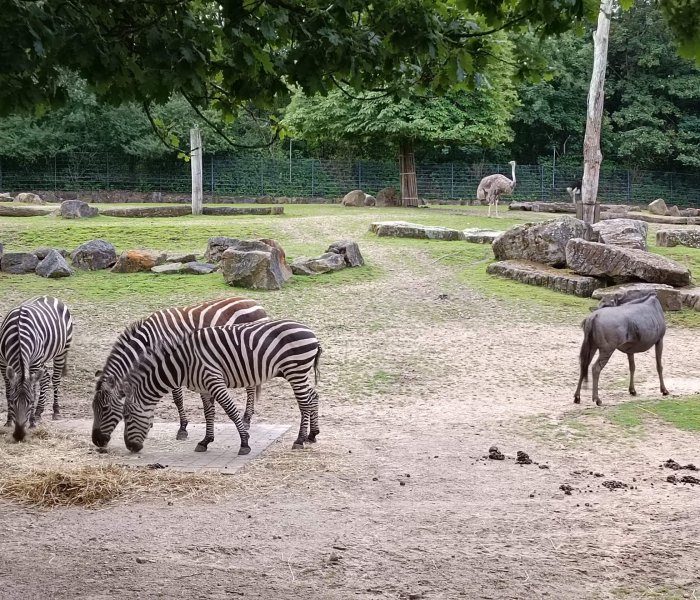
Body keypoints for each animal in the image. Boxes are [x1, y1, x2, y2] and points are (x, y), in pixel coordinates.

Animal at [0, 296, 74, 440]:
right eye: (13, 401)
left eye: (30, 402)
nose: (19, 435)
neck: (18, 334)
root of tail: (50, 296)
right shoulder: (2, 362)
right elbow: (8, 391)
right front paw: (9, 420)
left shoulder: (34, 363)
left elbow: (33, 390)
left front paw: (32, 422)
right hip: (42, 358)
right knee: (45, 378)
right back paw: (39, 412)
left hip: (61, 351)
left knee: (55, 379)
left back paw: (56, 411)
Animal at [91, 296, 266, 450]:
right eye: (93, 408)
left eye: (105, 408)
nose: (97, 441)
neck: (152, 341)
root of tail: (253, 301)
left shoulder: (173, 362)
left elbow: (177, 399)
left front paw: (182, 429)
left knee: (251, 387)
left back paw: (247, 419)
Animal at [100, 322, 320, 458]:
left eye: (126, 417)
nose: (131, 448)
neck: (183, 363)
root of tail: (312, 333)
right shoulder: (204, 388)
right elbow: (209, 413)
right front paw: (205, 441)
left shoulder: (214, 380)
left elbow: (230, 411)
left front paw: (244, 443)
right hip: (296, 373)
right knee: (313, 396)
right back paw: (312, 435)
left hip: (295, 371)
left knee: (304, 402)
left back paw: (300, 440)